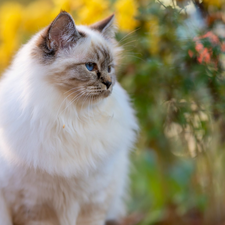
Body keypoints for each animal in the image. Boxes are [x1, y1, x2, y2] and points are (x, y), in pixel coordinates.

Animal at [0, 10, 137, 225]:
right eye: (90, 67)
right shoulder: (36, 207)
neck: (72, 118)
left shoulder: (93, 203)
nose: (109, 84)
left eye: (110, 68)